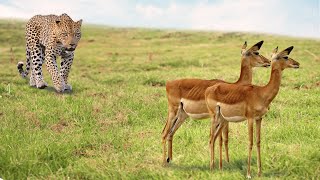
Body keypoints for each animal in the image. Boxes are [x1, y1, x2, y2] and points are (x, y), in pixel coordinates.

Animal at [205, 45, 300, 178]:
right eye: (285, 56)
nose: (297, 64)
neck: (261, 93)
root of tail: (209, 89)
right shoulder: (249, 119)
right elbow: (250, 142)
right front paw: (249, 174)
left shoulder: (259, 119)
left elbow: (258, 141)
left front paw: (260, 172)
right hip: (215, 117)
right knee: (211, 138)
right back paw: (211, 168)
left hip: (223, 120)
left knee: (214, 138)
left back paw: (217, 168)